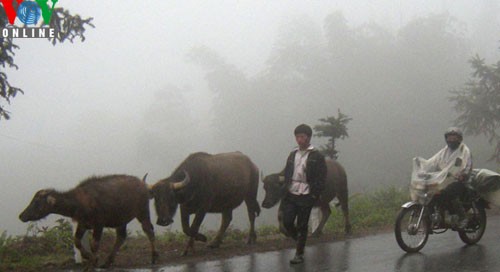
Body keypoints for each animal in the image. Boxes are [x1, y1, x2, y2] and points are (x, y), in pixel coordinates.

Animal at [19, 175, 156, 268]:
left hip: (142, 212)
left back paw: (154, 257)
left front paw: (93, 261)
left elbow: (94, 244)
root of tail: (143, 185)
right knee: (121, 237)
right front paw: (87, 256)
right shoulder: (83, 224)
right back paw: (108, 262)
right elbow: (77, 241)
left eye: (36, 201)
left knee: (149, 231)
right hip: (121, 220)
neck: (78, 203)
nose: (21, 216)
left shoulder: (99, 224)